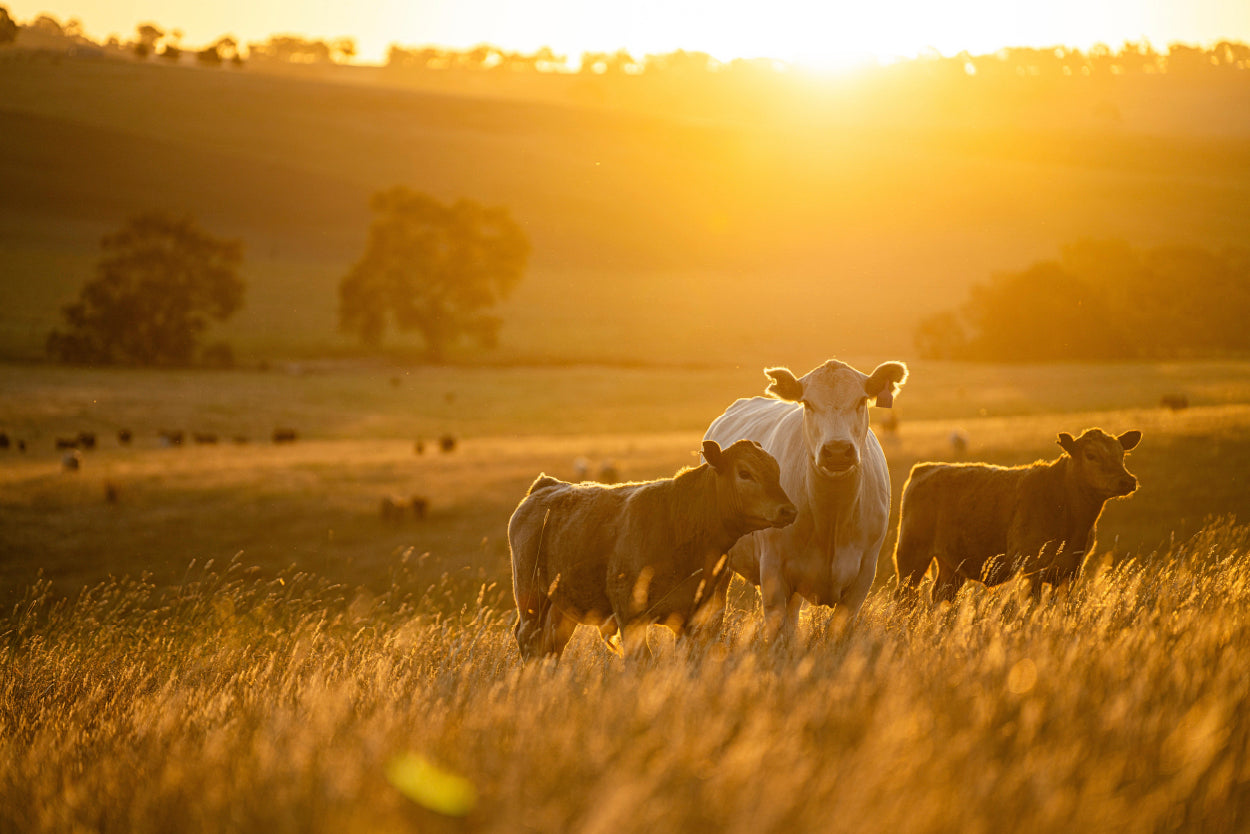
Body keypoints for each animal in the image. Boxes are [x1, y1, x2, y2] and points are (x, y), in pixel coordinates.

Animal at [508, 439, 797, 661]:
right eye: (745, 473)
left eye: (776, 471)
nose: (788, 510)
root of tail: (546, 486)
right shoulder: (630, 614)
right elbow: (641, 658)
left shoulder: (703, 618)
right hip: (531, 597)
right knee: (528, 638)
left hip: (561, 606)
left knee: (552, 645)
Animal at [703, 359, 909, 638]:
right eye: (808, 403)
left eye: (861, 401)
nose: (837, 450)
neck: (831, 514)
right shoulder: (773, 572)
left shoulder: (864, 574)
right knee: (716, 610)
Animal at [893, 427, 1142, 603]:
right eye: (1091, 455)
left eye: (1122, 455)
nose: (1127, 481)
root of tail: (925, 468)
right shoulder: (1032, 569)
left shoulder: (1070, 573)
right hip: (911, 557)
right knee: (904, 596)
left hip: (951, 566)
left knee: (939, 596)